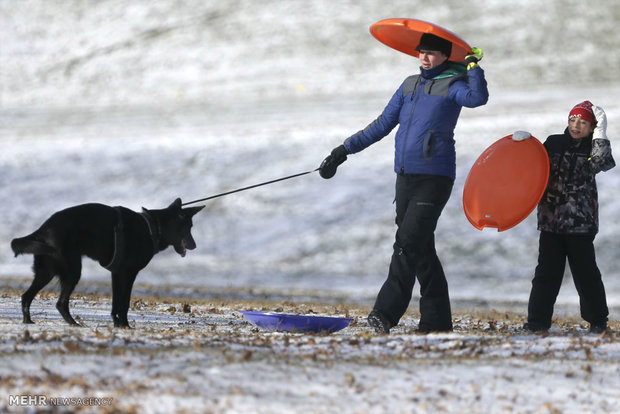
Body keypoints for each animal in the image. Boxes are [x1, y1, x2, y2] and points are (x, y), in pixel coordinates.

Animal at [10, 199, 203, 328]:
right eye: (188, 227)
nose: (195, 245)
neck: (152, 228)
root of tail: (44, 228)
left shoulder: (116, 274)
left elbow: (115, 303)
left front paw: (117, 323)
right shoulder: (129, 273)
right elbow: (124, 303)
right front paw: (125, 325)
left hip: (46, 272)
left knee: (26, 296)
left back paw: (28, 321)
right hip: (72, 272)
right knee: (60, 303)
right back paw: (74, 324)